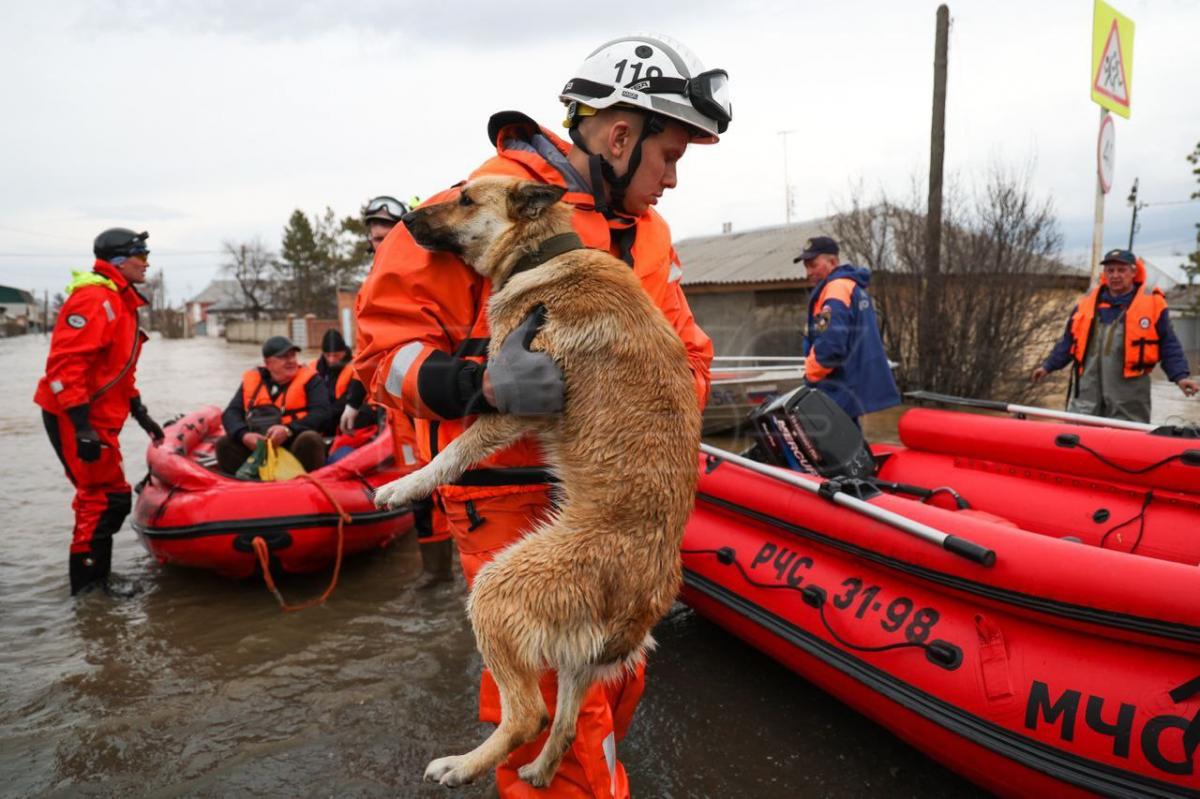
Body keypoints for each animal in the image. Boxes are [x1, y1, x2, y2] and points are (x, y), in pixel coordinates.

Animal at [369, 176, 700, 782]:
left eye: (466, 199)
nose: (404, 221)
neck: (544, 253)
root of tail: (641, 607)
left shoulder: (514, 403)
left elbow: (452, 453)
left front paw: (405, 486)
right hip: (574, 661)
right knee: (566, 727)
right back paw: (538, 772)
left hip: (493, 591)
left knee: (529, 715)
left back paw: (461, 766)